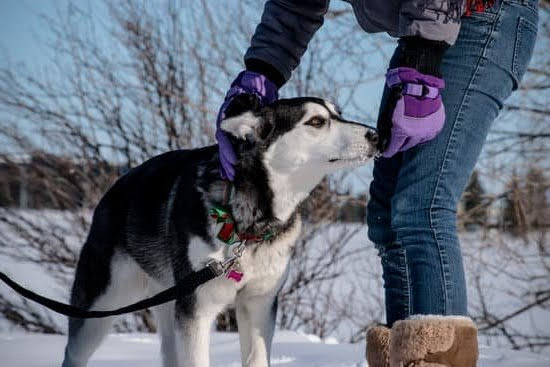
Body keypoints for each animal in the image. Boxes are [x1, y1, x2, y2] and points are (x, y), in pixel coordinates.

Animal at [61, 95, 380, 367]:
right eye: (316, 121)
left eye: (338, 113)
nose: (376, 135)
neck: (249, 220)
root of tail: (114, 188)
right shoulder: (197, 309)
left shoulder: (258, 305)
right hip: (100, 306)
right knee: (75, 351)